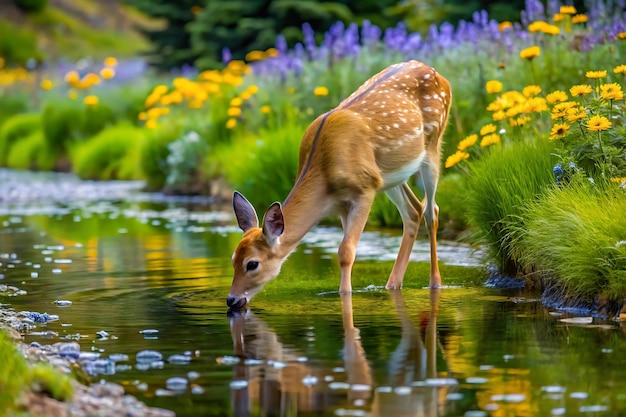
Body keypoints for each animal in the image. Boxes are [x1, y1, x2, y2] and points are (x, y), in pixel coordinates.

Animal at [227, 60, 450, 308]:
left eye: (252, 263)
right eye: (233, 259)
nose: (231, 299)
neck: (326, 179)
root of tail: (435, 72)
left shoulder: (364, 190)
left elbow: (345, 252)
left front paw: (344, 295)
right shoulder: (343, 204)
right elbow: (346, 250)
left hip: (433, 146)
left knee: (432, 211)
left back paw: (435, 282)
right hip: (390, 175)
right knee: (413, 211)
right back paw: (392, 284)